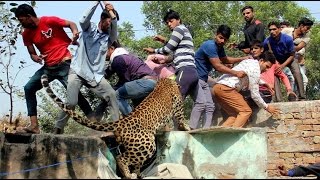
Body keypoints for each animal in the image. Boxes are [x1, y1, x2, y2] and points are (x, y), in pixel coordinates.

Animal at [40, 74, 190, 179]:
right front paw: (187, 128)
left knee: (133, 161)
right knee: (121, 158)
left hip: (137, 146)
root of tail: (122, 122)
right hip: (147, 145)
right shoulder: (178, 107)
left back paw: (138, 175)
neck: (164, 81)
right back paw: (129, 175)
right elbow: (181, 118)